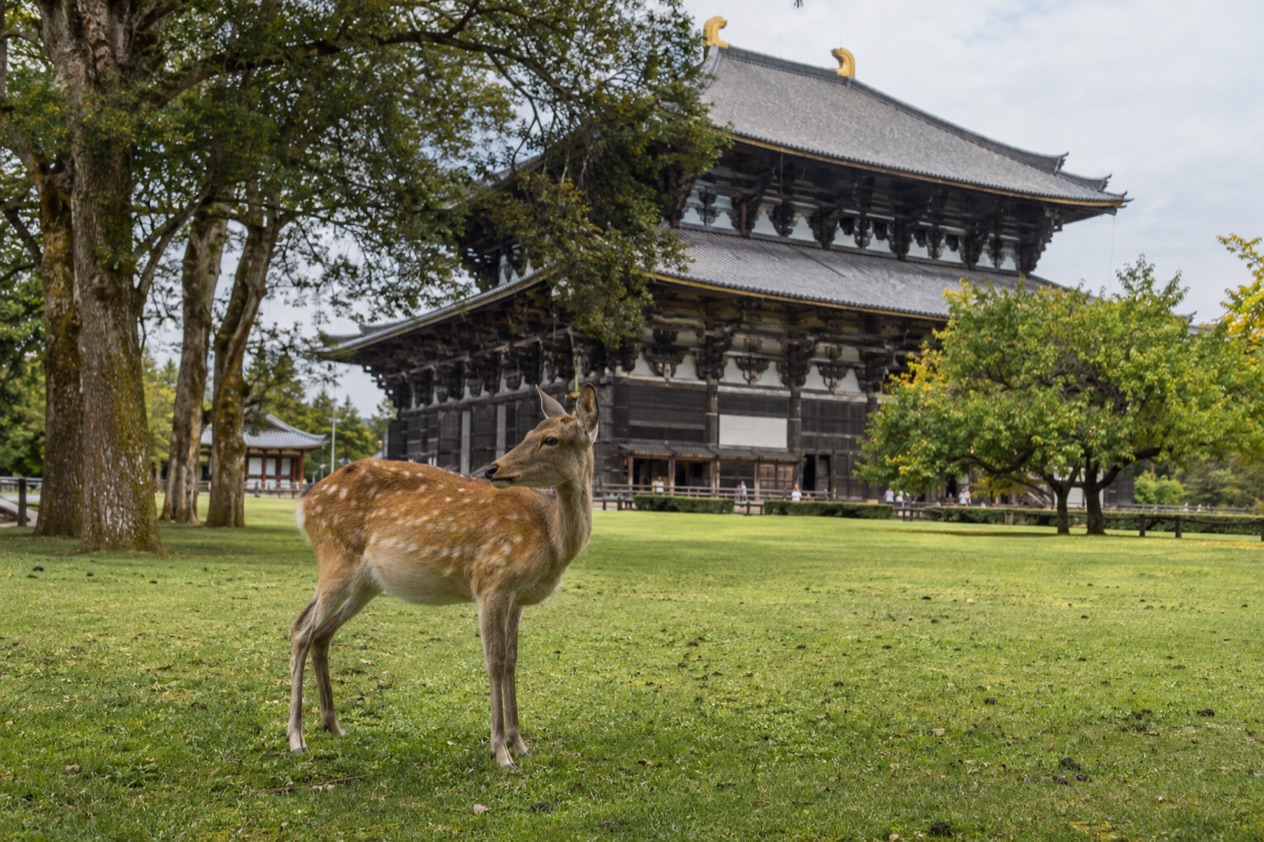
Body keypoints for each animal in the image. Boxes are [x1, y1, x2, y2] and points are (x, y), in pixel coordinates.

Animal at [287, 384, 599, 768]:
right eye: (528, 433)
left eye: (550, 438)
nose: (493, 468)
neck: (551, 538)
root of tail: (303, 505)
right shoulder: (491, 580)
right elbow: (494, 662)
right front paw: (500, 751)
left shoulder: (517, 598)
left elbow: (512, 661)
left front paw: (521, 745)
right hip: (336, 558)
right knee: (301, 629)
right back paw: (296, 738)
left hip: (365, 583)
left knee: (321, 634)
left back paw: (333, 725)